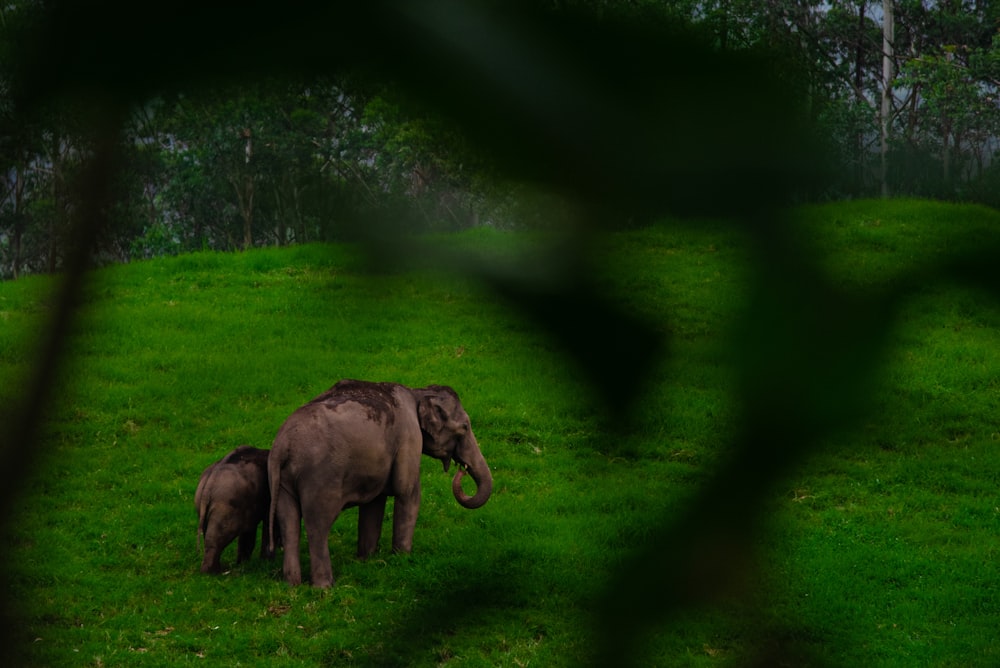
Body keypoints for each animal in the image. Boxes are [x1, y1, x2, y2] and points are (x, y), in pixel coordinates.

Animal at [270, 378, 492, 588]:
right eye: (465, 427)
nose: (462, 469)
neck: (418, 391)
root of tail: (283, 444)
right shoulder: (409, 437)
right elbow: (408, 492)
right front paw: (402, 559)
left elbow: (374, 503)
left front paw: (367, 560)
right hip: (320, 479)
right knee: (318, 525)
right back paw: (324, 587)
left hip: (283, 480)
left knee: (289, 522)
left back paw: (291, 584)